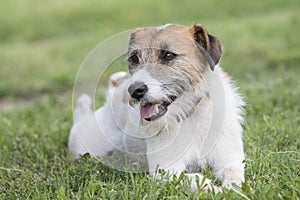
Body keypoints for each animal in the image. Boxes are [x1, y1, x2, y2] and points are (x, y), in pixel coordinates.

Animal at [68, 23, 246, 192]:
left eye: (168, 55)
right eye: (134, 58)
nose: (134, 91)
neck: (191, 113)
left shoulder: (230, 158)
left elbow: (234, 176)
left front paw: (232, 189)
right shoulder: (166, 170)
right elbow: (195, 179)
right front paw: (214, 189)